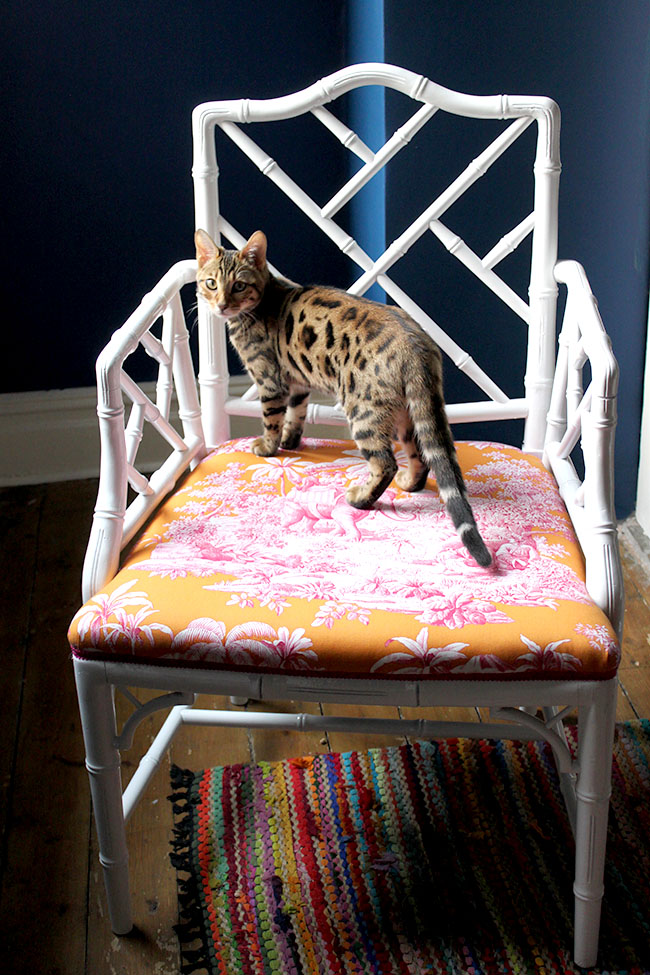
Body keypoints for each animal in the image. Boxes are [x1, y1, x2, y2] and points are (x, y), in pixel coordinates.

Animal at [195, 230, 488, 568]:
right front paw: (290, 441)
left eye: (239, 286)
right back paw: (409, 483)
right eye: (211, 283)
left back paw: (361, 498)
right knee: (420, 456)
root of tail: (416, 343)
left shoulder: (269, 379)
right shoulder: (298, 383)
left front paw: (268, 446)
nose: (221, 305)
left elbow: (272, 419)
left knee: (385, 463)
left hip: (363, 411)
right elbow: (296, 415)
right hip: (407, 412)